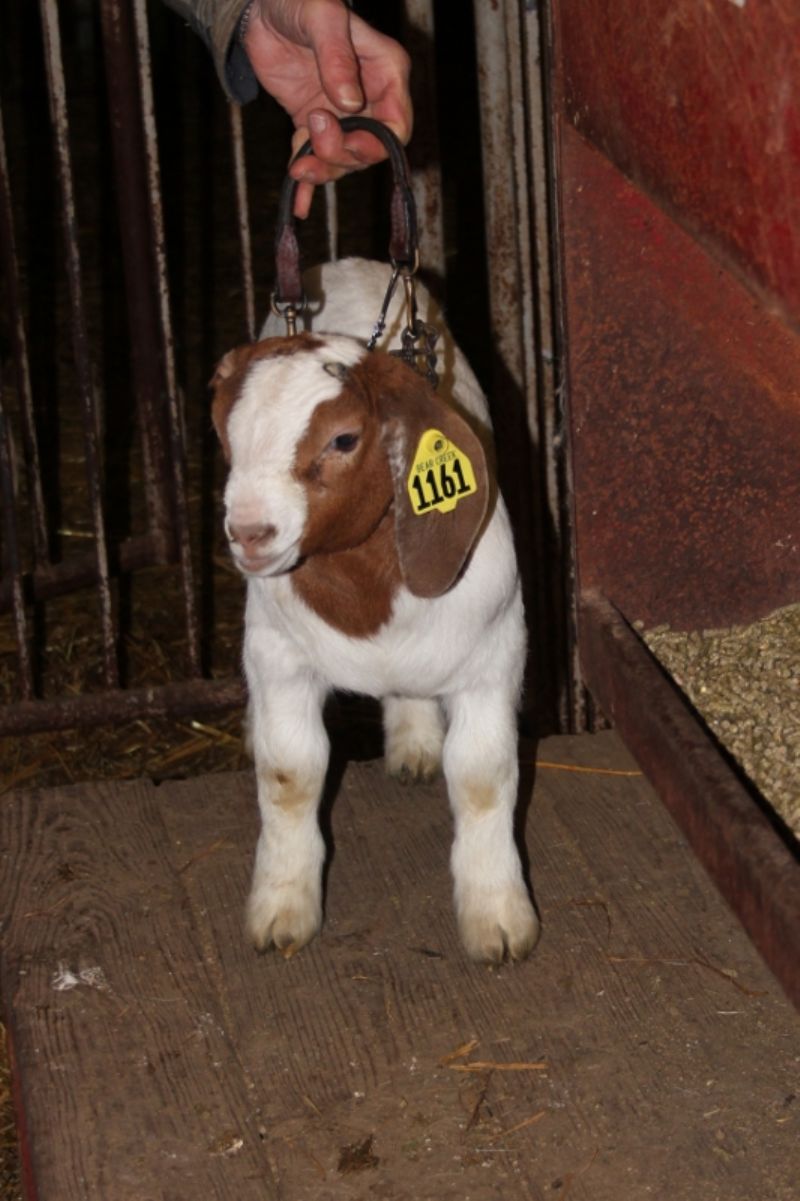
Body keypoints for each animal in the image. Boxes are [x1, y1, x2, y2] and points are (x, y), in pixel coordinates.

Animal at [210, 258, 538, 963]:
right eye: (225, 432)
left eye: (343, 439)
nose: (249, 533)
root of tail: (345, 264)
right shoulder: (278, 655)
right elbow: (290, 772)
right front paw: (281, 911)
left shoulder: (493, 655)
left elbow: (482, 776)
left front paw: (498, 920)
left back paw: (415, 745)